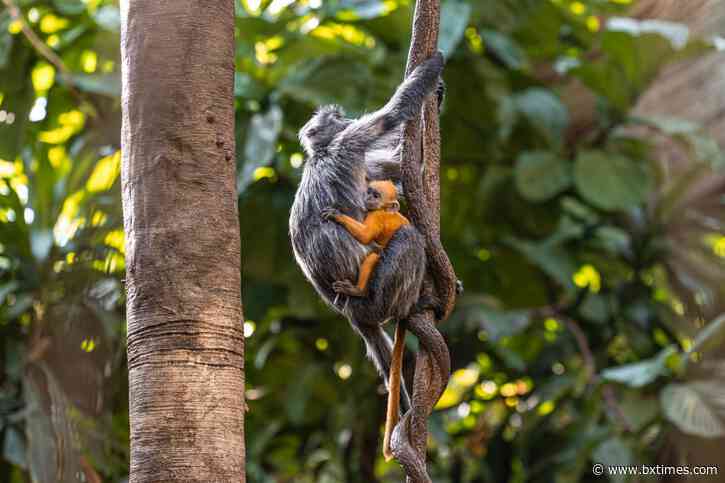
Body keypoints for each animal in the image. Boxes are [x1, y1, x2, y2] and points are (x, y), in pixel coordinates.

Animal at [289, 52, 444, 421]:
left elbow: (398, 169)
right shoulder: (348, 144)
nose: (346, 118)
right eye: (339, 118)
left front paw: (438, 92)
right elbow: (392, 116)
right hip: (376, 296)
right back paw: (416, 302)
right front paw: (433, 67)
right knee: (409, 239)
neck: (320, 155)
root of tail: (351, 313)